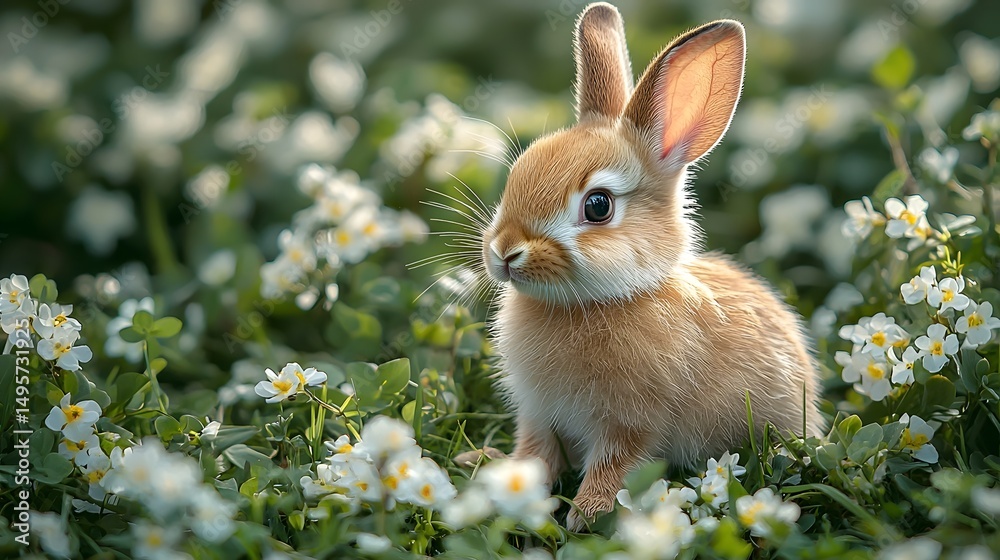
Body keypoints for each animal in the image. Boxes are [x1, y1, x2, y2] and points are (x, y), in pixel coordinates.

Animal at [479, 2, 823, 531]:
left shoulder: (631, 422)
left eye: (598, 206)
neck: (600, 301)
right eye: (517, 174)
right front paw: (506, 479)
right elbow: (535, 452)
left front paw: (587, 516)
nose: (505, 252)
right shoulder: (538, 414)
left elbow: (613, 464)